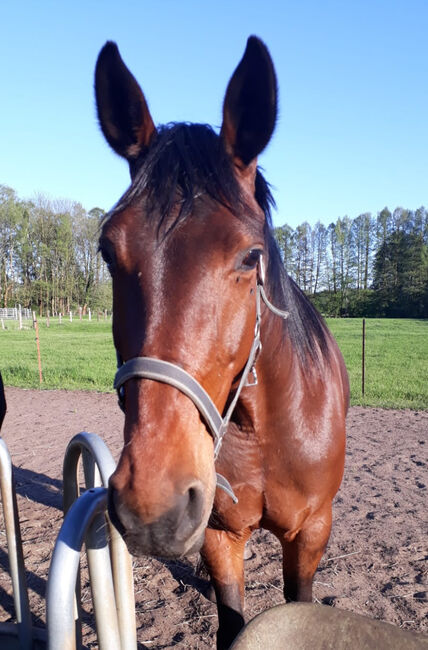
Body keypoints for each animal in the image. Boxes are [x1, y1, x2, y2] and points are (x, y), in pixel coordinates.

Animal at [95, 36, 349, 649]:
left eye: (250, 256)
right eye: (108, 251)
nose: (152, 502)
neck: (267, 430)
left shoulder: (311, 532)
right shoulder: (218, 535)